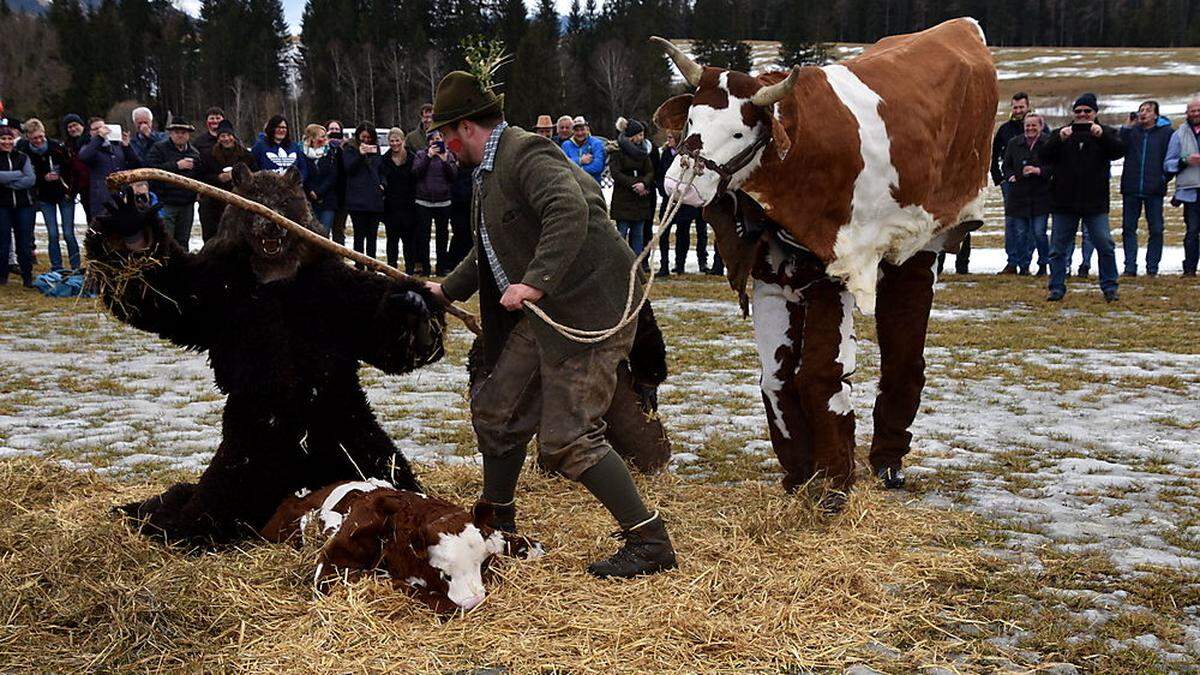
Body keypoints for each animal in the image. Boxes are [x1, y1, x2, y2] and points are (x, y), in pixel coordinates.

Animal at [652, 18, 998, 497]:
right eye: (691, 119)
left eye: (739, 132)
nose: (678, 184)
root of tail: (962, 28)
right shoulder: (771, 283)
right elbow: (777, 382)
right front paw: (800, 479)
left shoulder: (845, 265)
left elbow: (822, 379)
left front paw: (833, 487)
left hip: (920, 253)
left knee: (900, 356)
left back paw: (888, 463)